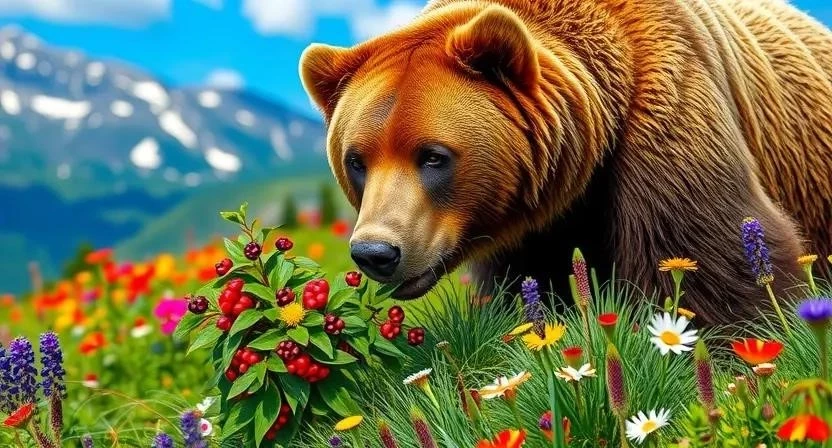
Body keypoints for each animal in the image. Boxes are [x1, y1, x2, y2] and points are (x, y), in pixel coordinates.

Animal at [299, 0, 832, 325]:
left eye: (433, 156)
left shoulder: (666, 115)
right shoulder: (524, 229)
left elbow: (710, 264)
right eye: (357, 160)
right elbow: (524, 289)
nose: (375, 252)